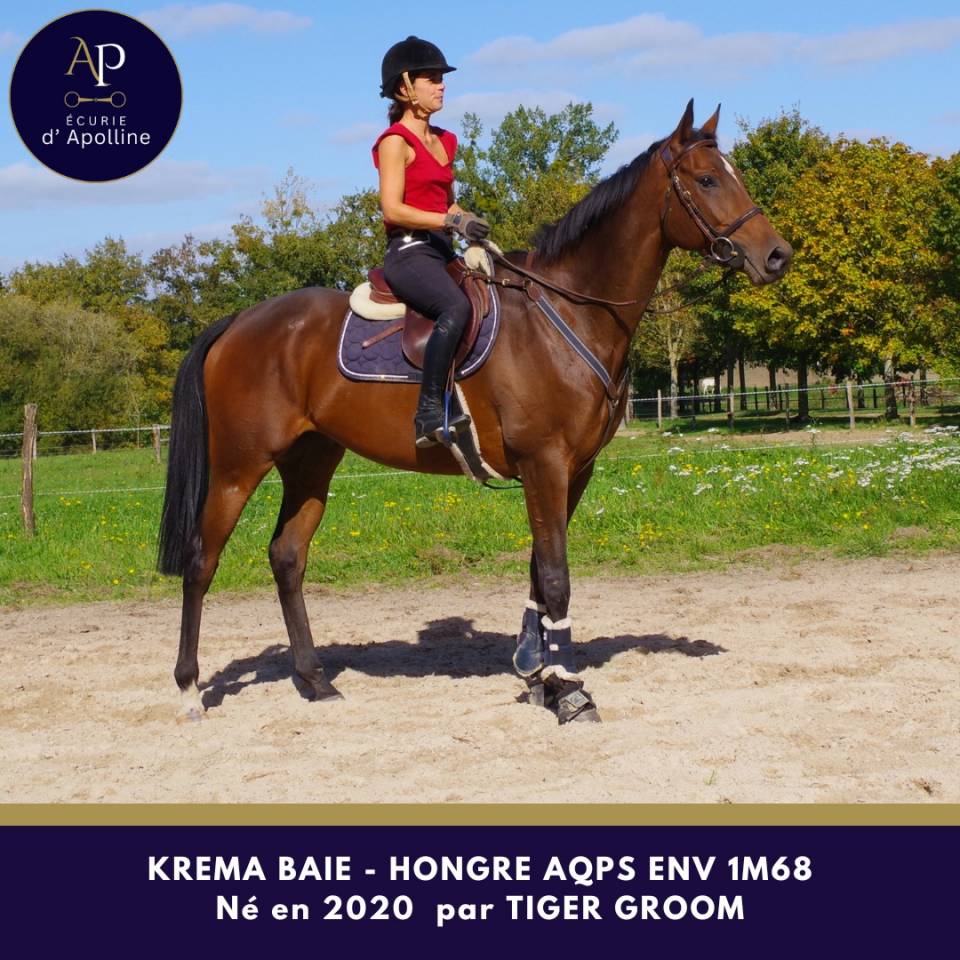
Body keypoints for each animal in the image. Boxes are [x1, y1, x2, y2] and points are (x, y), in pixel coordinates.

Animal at [158, 101, 791, 724]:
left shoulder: (574, 469)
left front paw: (539, 672)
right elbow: (556, 577)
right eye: (707, 180)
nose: (778, 255)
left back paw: (315, 680)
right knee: (201, 561)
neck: (567, 311)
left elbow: (540, 568)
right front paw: (571, 691)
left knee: (287, 556)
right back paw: (188, 689)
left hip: (311, 461)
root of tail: (239, 322)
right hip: (239, 466)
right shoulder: (544, 462)